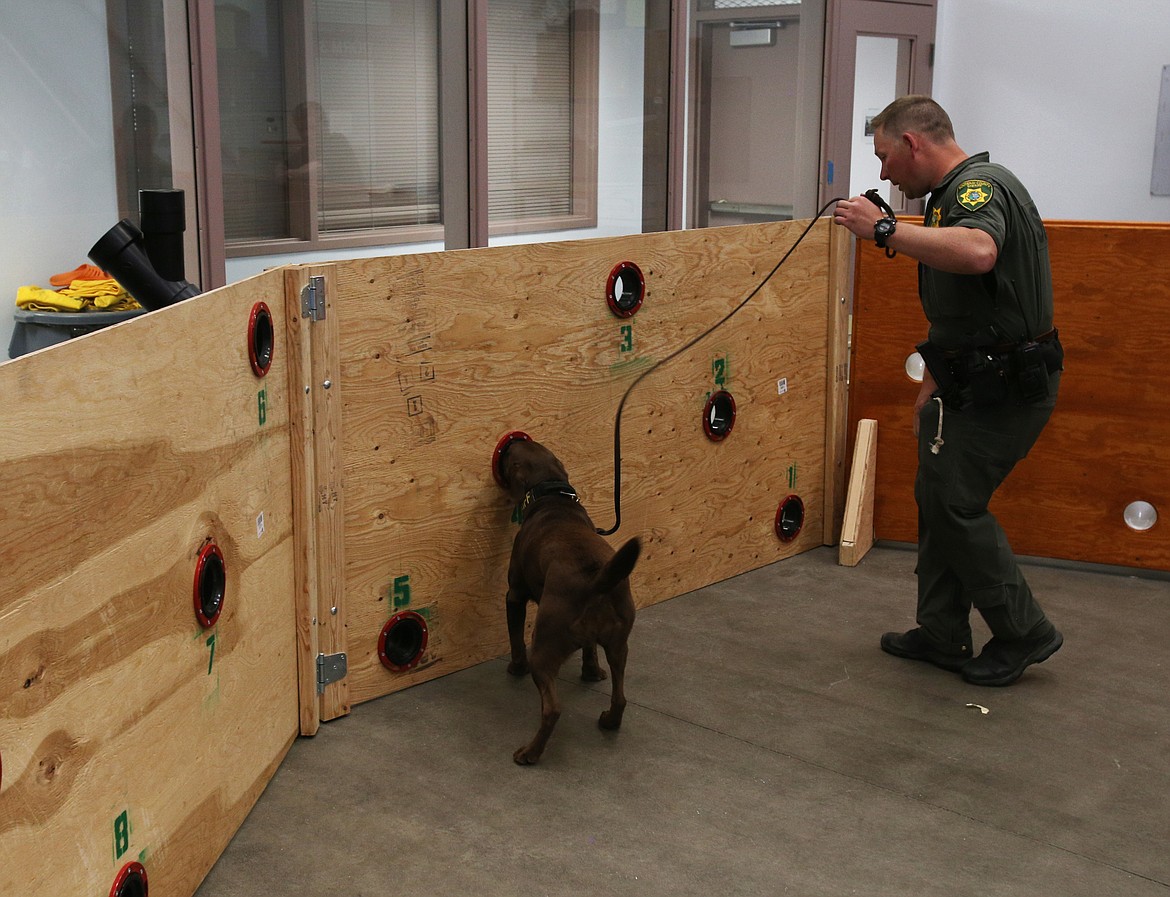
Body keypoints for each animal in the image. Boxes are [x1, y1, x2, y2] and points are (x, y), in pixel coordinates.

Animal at [496, 435, 641, 767]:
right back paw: (609, 721)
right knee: (620, 697)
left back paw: (530, 753)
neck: (553, 497)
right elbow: (590, 652)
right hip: (619, 645)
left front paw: (515, 668)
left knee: (553, 710)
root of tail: (597, 580)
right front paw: (591, 672)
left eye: (511, 458)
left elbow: (515, 638)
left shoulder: (514, 595)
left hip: (544, 649)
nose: (514, 439)